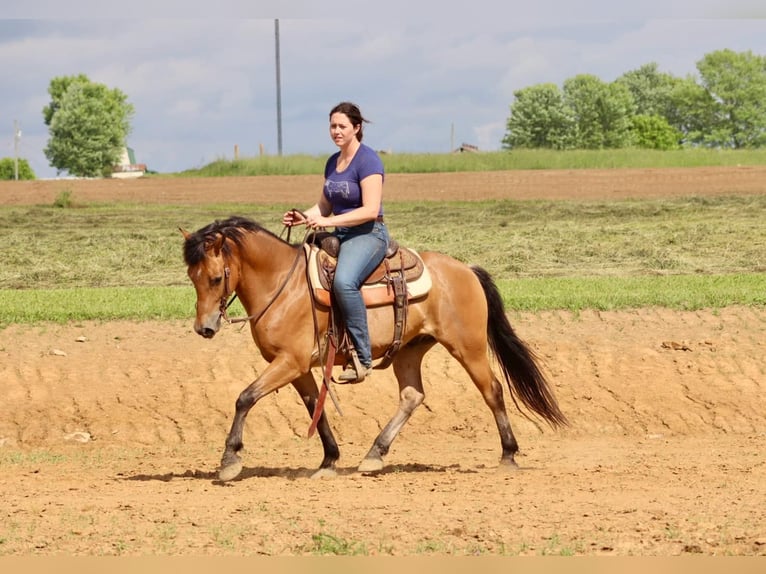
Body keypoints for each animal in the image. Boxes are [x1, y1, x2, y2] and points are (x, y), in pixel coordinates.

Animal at [181, 215, 567, 481]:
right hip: (410, 350)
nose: (204, 328)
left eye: (216, 277)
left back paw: (508, 454)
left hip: (467, 347)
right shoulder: (298, 367)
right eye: (192, 277)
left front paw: (230, 460)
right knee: (412, 396)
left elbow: (245, 397)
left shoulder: (289, 362)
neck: (283, 285)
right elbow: (315, 409)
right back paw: (375, 454)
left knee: (493, 390)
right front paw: (329, 460)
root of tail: (466, 270)